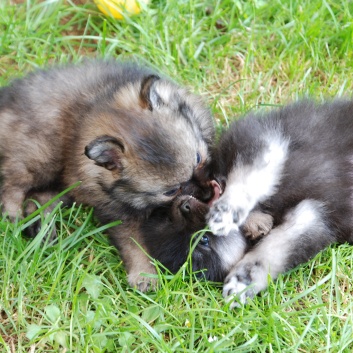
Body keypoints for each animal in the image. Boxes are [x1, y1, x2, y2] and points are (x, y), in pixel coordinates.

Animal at [0, 58, 214, 288]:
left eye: (198, 158)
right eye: (171, 191)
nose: (208, 193)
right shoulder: (117, 211)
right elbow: (133, 241)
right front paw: (144, 274)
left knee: (38, 198)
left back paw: (43, 230)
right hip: (42, 155)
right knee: (13, 183)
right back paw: (13, 216)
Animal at [206, 99, 353, 306]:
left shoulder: (260, 137)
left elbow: (248, 179)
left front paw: (225, 213)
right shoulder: (314, 216)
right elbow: (273, 250)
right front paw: (243, 282)